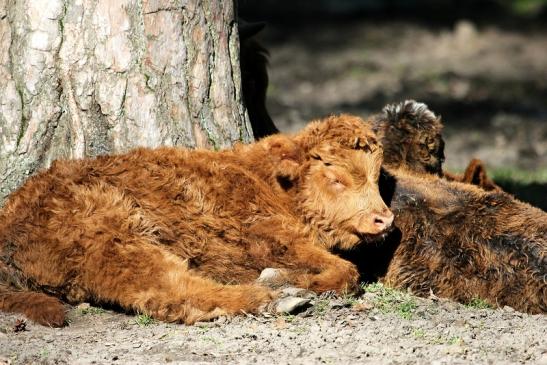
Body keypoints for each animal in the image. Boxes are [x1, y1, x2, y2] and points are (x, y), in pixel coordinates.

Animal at [0, 114, 394, 324]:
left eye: (376, 177)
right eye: (336, 177)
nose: (384, 220)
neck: (266, 180)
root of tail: (11, 217)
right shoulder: (273, 236)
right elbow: (345, 271)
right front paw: (297, 280)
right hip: (117, 236)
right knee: (170, 291)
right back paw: (275, 296)